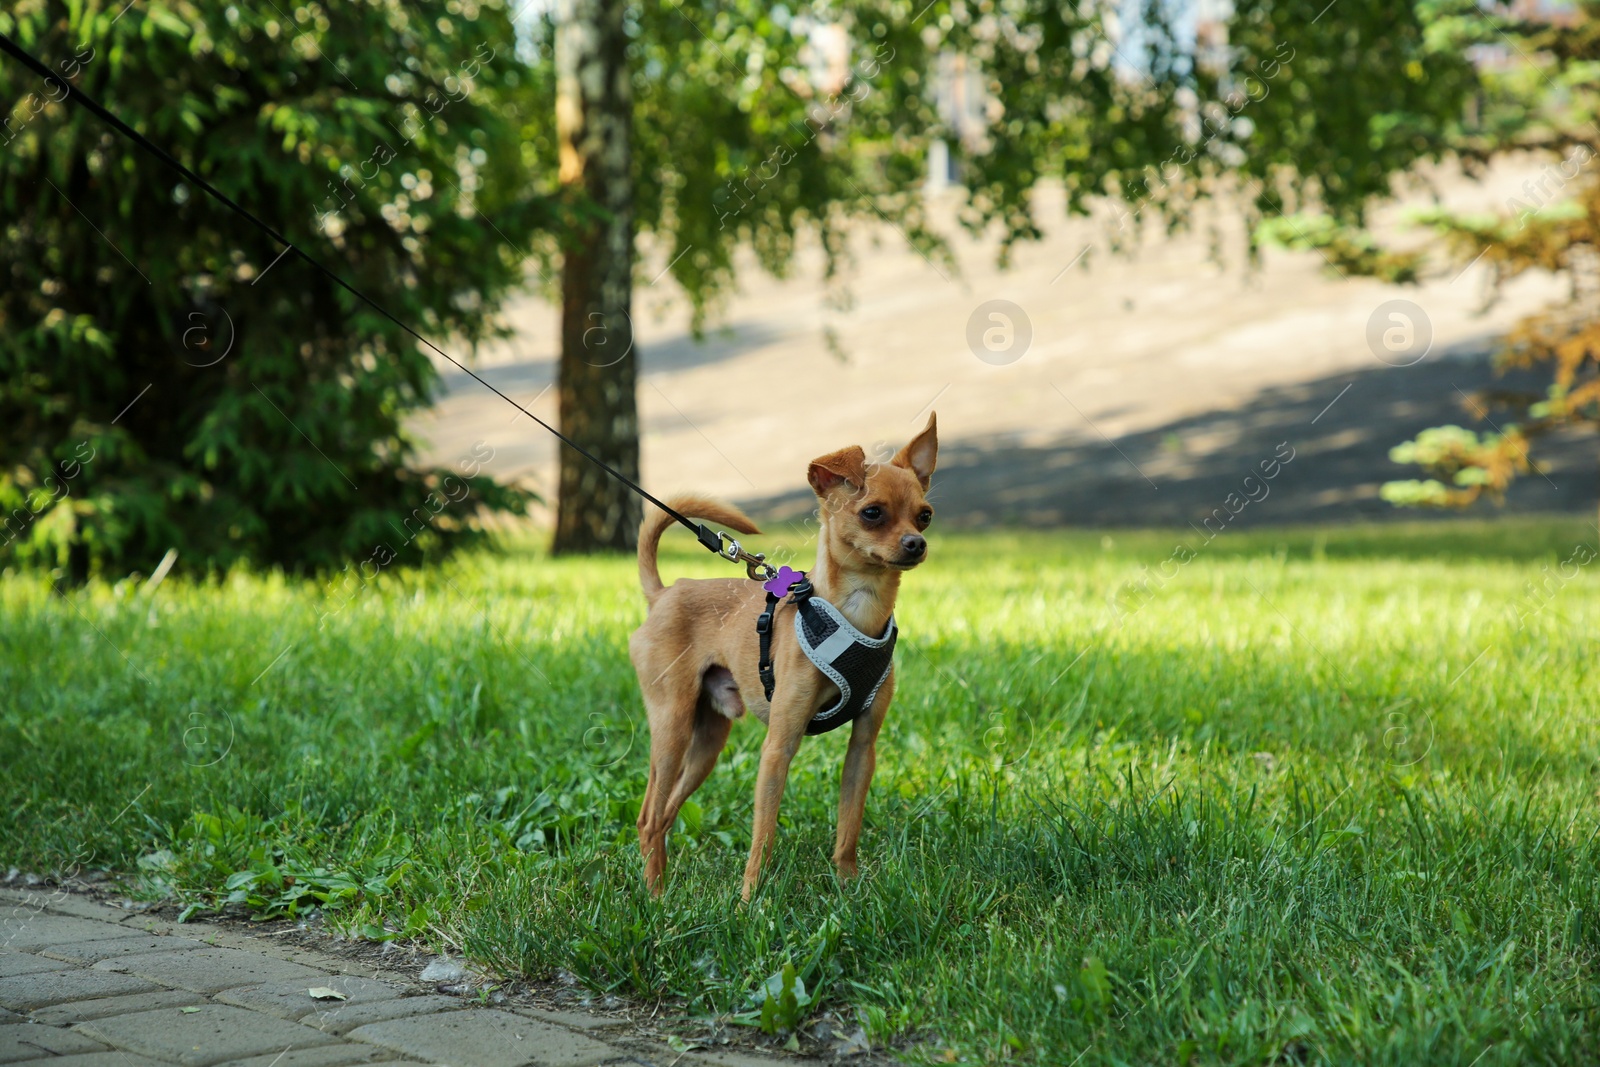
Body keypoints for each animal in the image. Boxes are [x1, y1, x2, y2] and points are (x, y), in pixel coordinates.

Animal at [627, 412, 934, 895]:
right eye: (872, 513)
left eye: (925, 516)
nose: (916, 543)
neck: (857, 610)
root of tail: (663, 593)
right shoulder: (778, 748)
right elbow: (763, 836)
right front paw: (750, 899)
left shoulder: (862, 749)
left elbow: (848, 827)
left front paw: (848, 887)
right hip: (672, 728)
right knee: (649, 816)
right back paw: (656, 895)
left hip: (706, 741)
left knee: (661, 816)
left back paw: (661, 886)